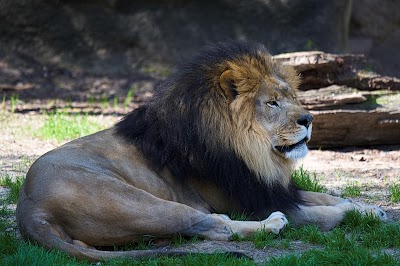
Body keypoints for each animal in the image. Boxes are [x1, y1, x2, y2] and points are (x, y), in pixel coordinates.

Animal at [16, 40, 388, 260]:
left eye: (291, 96)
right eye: (271, 103)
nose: (309, 119)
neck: (251, 152)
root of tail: (28, 209)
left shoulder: (266, 187)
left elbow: (324, 195)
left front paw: (367, 207)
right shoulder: (249, 200)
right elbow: (319, 214)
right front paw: (352, 213)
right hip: (137, 202)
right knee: (214, 225)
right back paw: (270, 225)